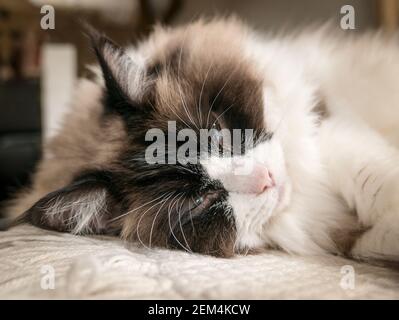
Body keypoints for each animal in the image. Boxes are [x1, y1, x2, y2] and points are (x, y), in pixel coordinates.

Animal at [4, 18, 399, 262]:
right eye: (201, 200)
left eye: (220, 137)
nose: (267, 180)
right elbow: (371, 233)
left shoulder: (324, 117)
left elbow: (364, 173)